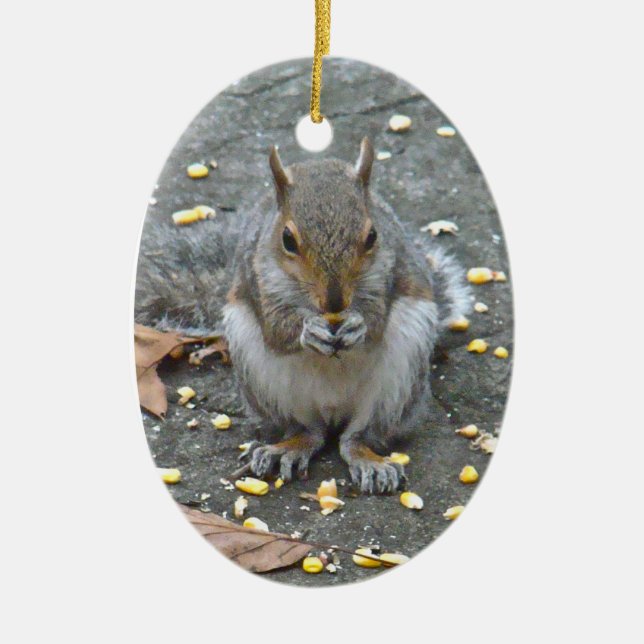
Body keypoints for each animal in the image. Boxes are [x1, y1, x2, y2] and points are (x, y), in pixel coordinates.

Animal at [220, 137, 471, 493]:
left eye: (372, 236)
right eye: (287, 239)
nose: (335, 302)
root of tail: (333, 411)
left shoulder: (389, 273)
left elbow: (377, 320)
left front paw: (359, 327)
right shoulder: (257, 278)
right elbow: (276, 328)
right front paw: (308, 331)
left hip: (399, 380)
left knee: (357, 437)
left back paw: (370, 460)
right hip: (262, 378)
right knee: (308, 431)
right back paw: (285, 448)